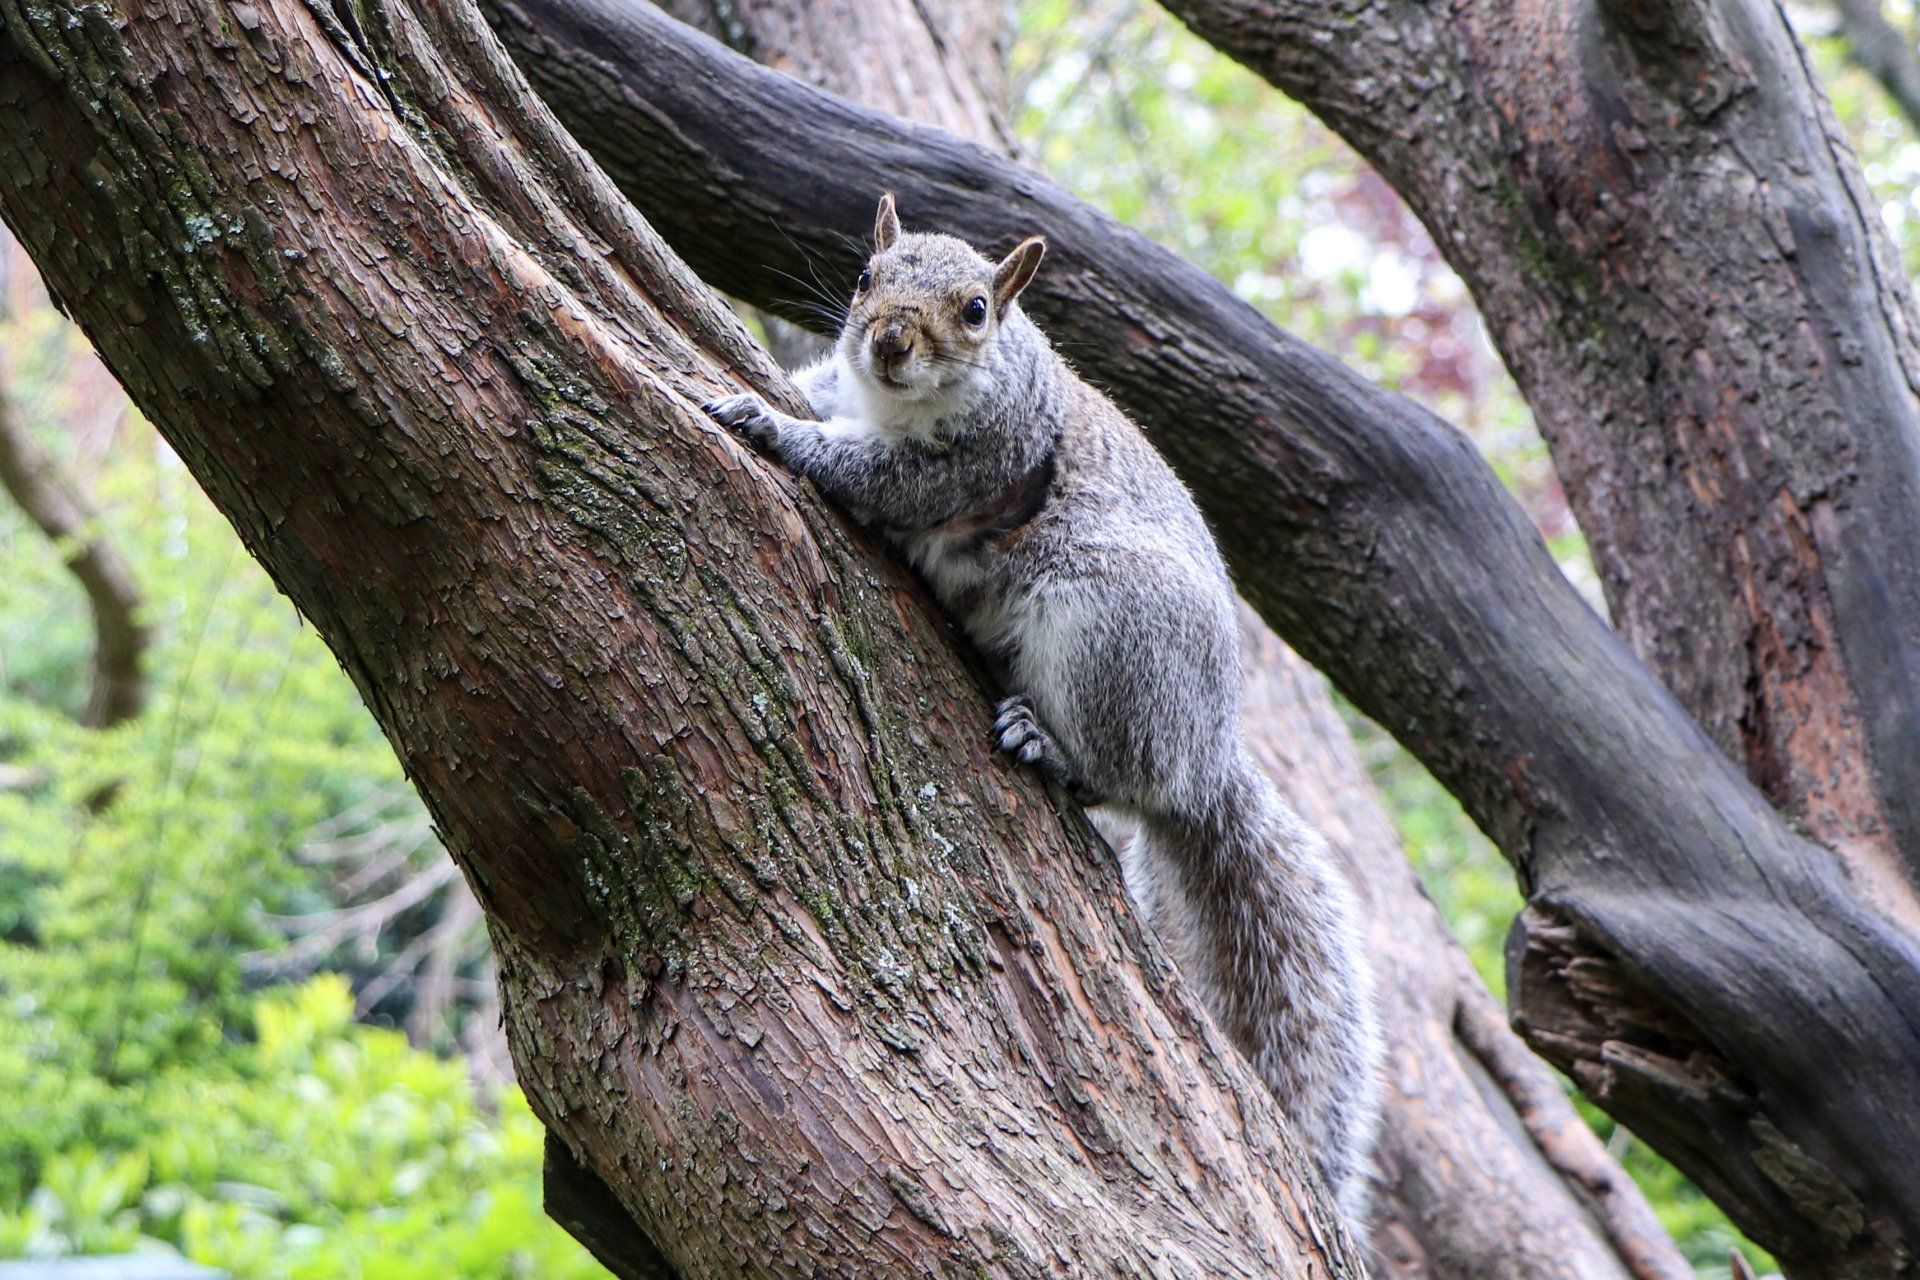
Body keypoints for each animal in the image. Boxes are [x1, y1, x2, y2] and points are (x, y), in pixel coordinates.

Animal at [705, 195, 1384, 1225]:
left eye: (978, 309)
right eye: (866, 278)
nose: (889, 341)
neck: (904, 404)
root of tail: (1208, 754)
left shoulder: (969, 464)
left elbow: (869, 473)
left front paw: (767, 423)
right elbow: (823, 392)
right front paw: (790, 390)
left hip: (1110, 636)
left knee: (1126, 778)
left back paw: (1053, 747)